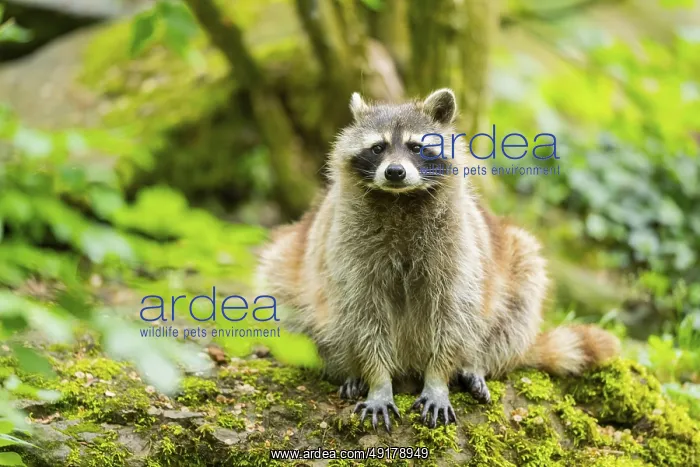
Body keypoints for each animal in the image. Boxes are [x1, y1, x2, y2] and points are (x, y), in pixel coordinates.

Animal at [256, 89, 620, 431]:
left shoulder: (459, 250)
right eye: (378, 148)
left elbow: (453, 313)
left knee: (516, 309)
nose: (395, 172)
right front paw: (377, 380)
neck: (399, 199)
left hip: (516, 255)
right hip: (287, 262)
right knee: (288, 304)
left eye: (416, 147)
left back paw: (475, 363)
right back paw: (347, 370)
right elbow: (362, 315)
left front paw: (438, 378)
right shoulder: (347, 250)